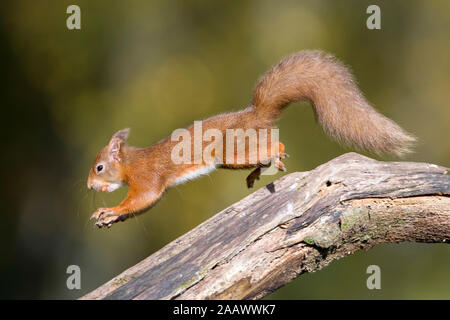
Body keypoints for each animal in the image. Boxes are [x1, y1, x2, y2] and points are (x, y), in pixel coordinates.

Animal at [87, 50, 414, 228]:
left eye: (99, 167)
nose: (90, 186)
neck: (130, 162)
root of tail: (256, 115)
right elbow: (143, 205)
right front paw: (109, 216)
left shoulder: (146, 179)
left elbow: (142, 198)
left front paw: (110, 210)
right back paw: (259, 171)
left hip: (233, 151)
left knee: (275, 144)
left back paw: (276, 158)